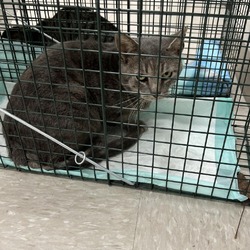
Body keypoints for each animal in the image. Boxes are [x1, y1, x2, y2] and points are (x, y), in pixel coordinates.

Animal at [3, 27, 188, 170]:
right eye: (141, 77)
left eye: (166, 74)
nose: (156, 92)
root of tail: (15, 146)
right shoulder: (112, 112)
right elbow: (125, 119)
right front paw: (136, 124)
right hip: (80, 103)